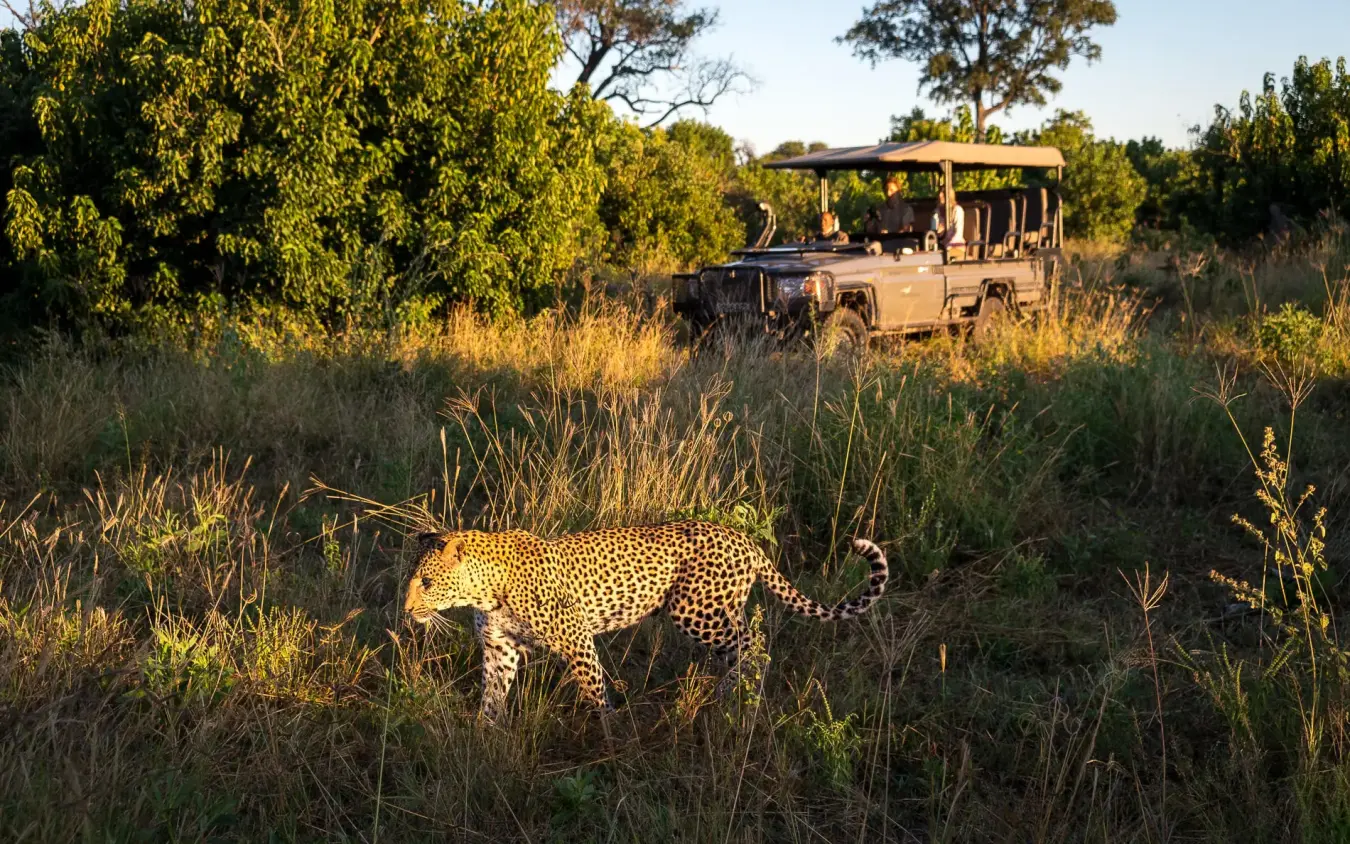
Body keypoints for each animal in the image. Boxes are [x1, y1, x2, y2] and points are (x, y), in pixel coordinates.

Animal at [403, 520, 888, 721]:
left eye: (425, 582)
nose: (406, 610)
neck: (485, 589)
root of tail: (743, 538)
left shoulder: (577, 639)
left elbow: (596, 692)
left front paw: (614, 737)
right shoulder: (500, 648)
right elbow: (492, 696)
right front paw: (484, 735)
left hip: (698, 611)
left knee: (755, 647)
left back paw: (733, 701)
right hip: (715, 613)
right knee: (742, 651)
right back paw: (725, 698)